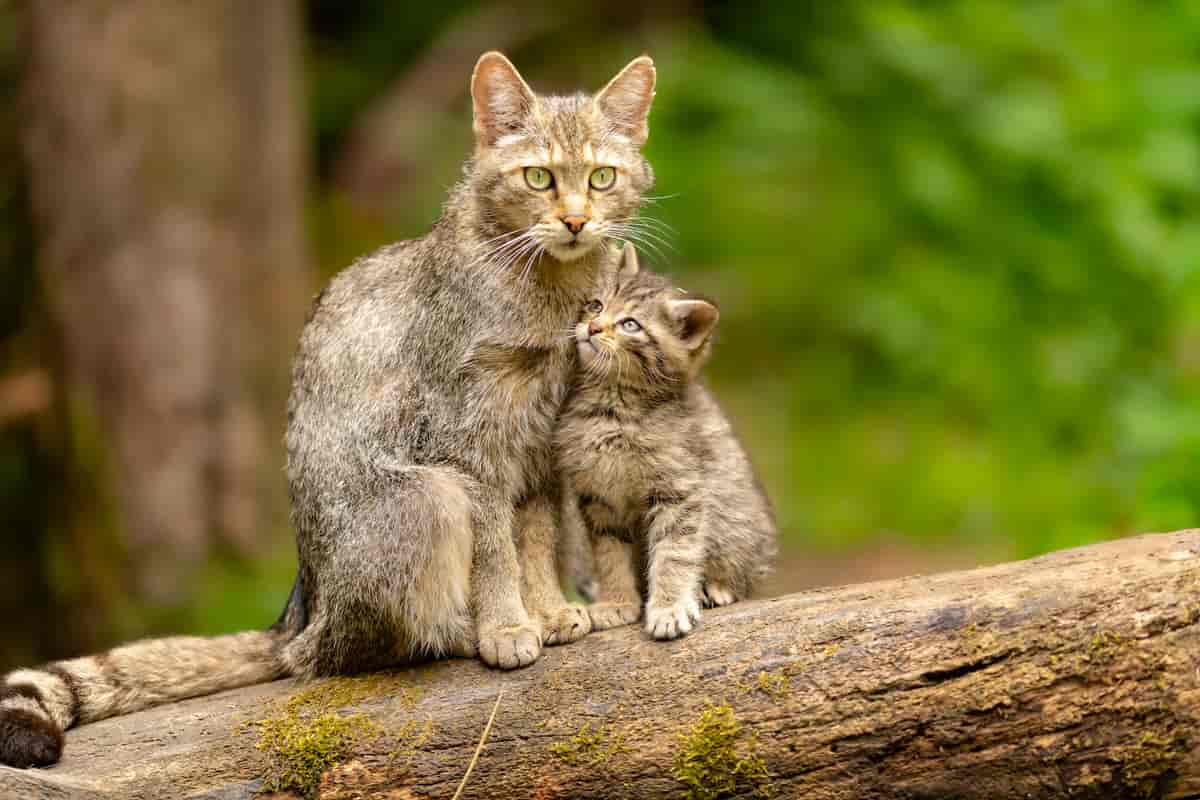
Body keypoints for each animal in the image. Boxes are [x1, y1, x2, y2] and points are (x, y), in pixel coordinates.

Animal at [0, 51, 657, 767]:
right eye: (539, 177)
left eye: (601, 177)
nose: (575, 221)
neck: (549, 291)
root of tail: (297, 616)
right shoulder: (466, 447)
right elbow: (495, 552)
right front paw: (507, 625)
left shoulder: (537, 447)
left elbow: (533, 540)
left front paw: (546, 609)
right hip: (425, 498)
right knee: (348, 655)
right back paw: (457, 632)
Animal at [554, 244, 777, 638]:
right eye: (595, 305)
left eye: (630, 324)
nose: (592, 327)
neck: (610, 408)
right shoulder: (599, 498)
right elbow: (610, 555)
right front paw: (616, 602)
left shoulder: (679, 490)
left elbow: (674, 553)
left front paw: (669, 608)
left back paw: (715, 588)